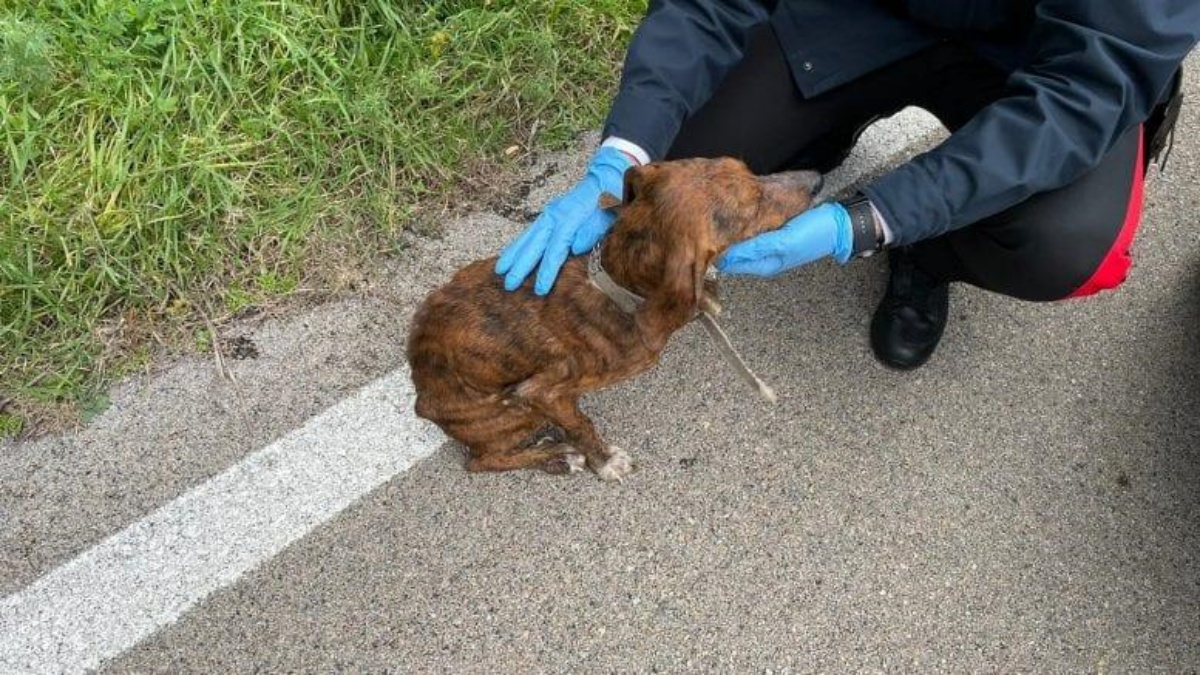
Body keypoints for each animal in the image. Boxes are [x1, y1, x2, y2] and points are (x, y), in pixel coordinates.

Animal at [408, 154, 820, 478]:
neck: (617, 287)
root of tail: (422, 399)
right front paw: (603, 460)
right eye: (753, 205)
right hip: (512, 410)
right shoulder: (543, 392)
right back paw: (557, 457)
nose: (817, 179)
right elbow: (581, 426)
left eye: (749, 169)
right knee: (480, 461)